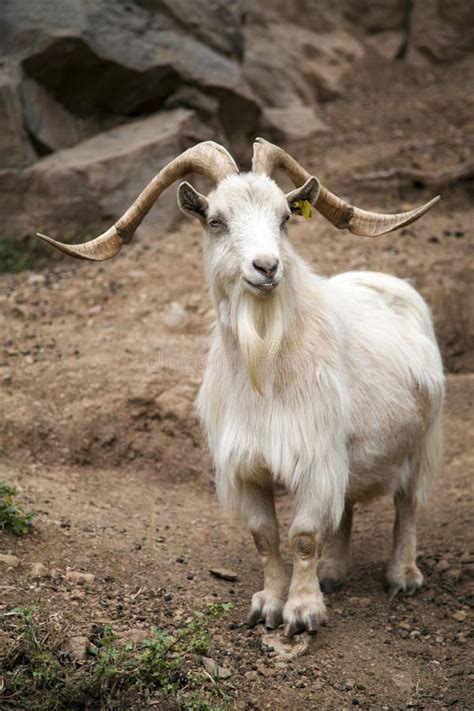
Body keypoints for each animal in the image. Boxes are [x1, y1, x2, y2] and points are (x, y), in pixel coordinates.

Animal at [38, 136, 444, 636]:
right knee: (347, 507)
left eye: (285, 217)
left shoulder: (314, 460)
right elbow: (265, 537)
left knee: (408, 504)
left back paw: (402, 576)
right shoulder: (249, 468)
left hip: (422, 441)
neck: (264, 369)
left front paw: (302, 612)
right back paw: (334, 573)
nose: (266, 267)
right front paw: (268, 605)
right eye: (217, 220)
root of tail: (387, 282)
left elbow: (303, 536)